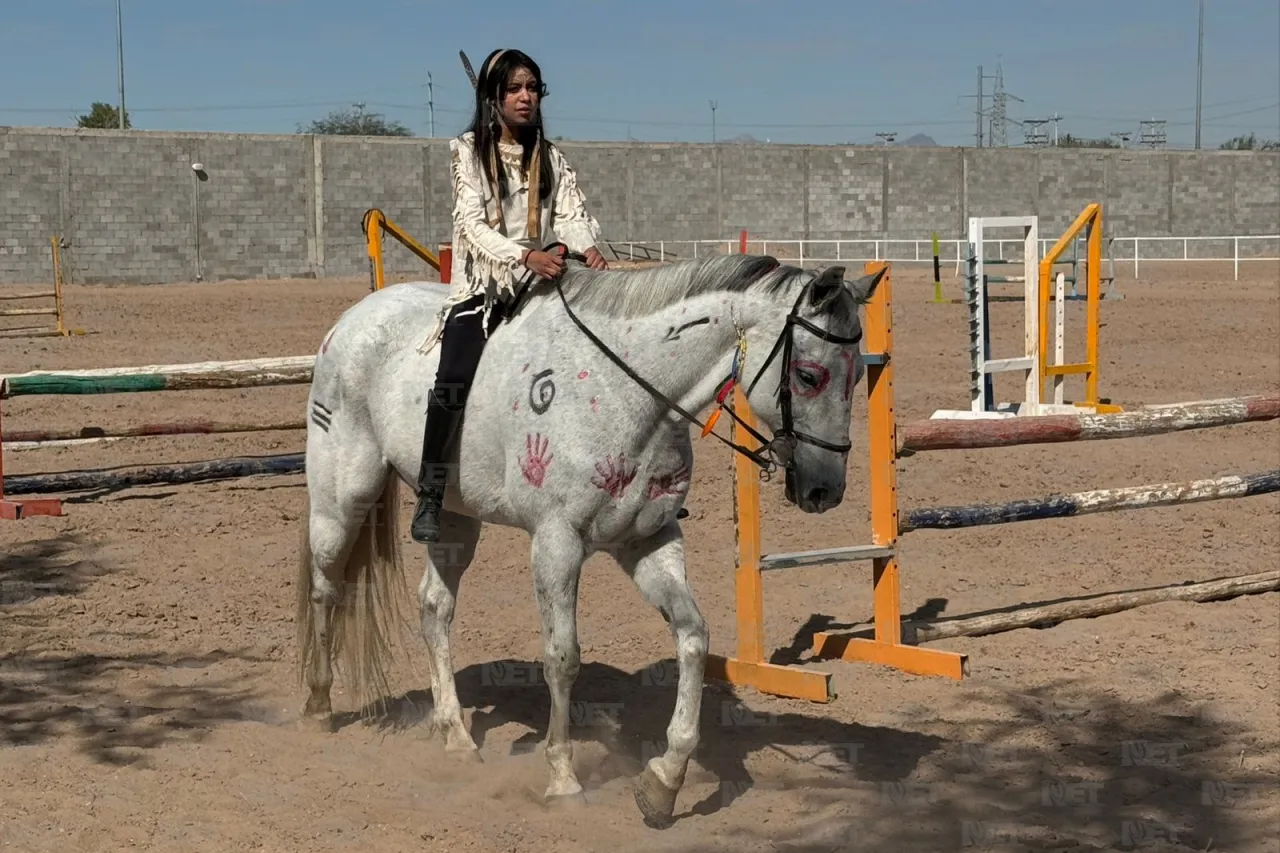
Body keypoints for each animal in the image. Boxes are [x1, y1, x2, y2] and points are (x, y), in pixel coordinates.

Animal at [294, 251, 885, 824]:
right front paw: (562, 779)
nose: (824, 490)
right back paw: (319, 706)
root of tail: (353, 318)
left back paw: (457, 737)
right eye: (808, 375)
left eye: (857, 377)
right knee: (326, 586)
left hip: (456, 520)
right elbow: (563, 656)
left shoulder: (649, 540)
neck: (623, 393)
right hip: (344, 496)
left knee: (434, 607)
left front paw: (664, 783)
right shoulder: (556, 543)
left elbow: (693, 637)